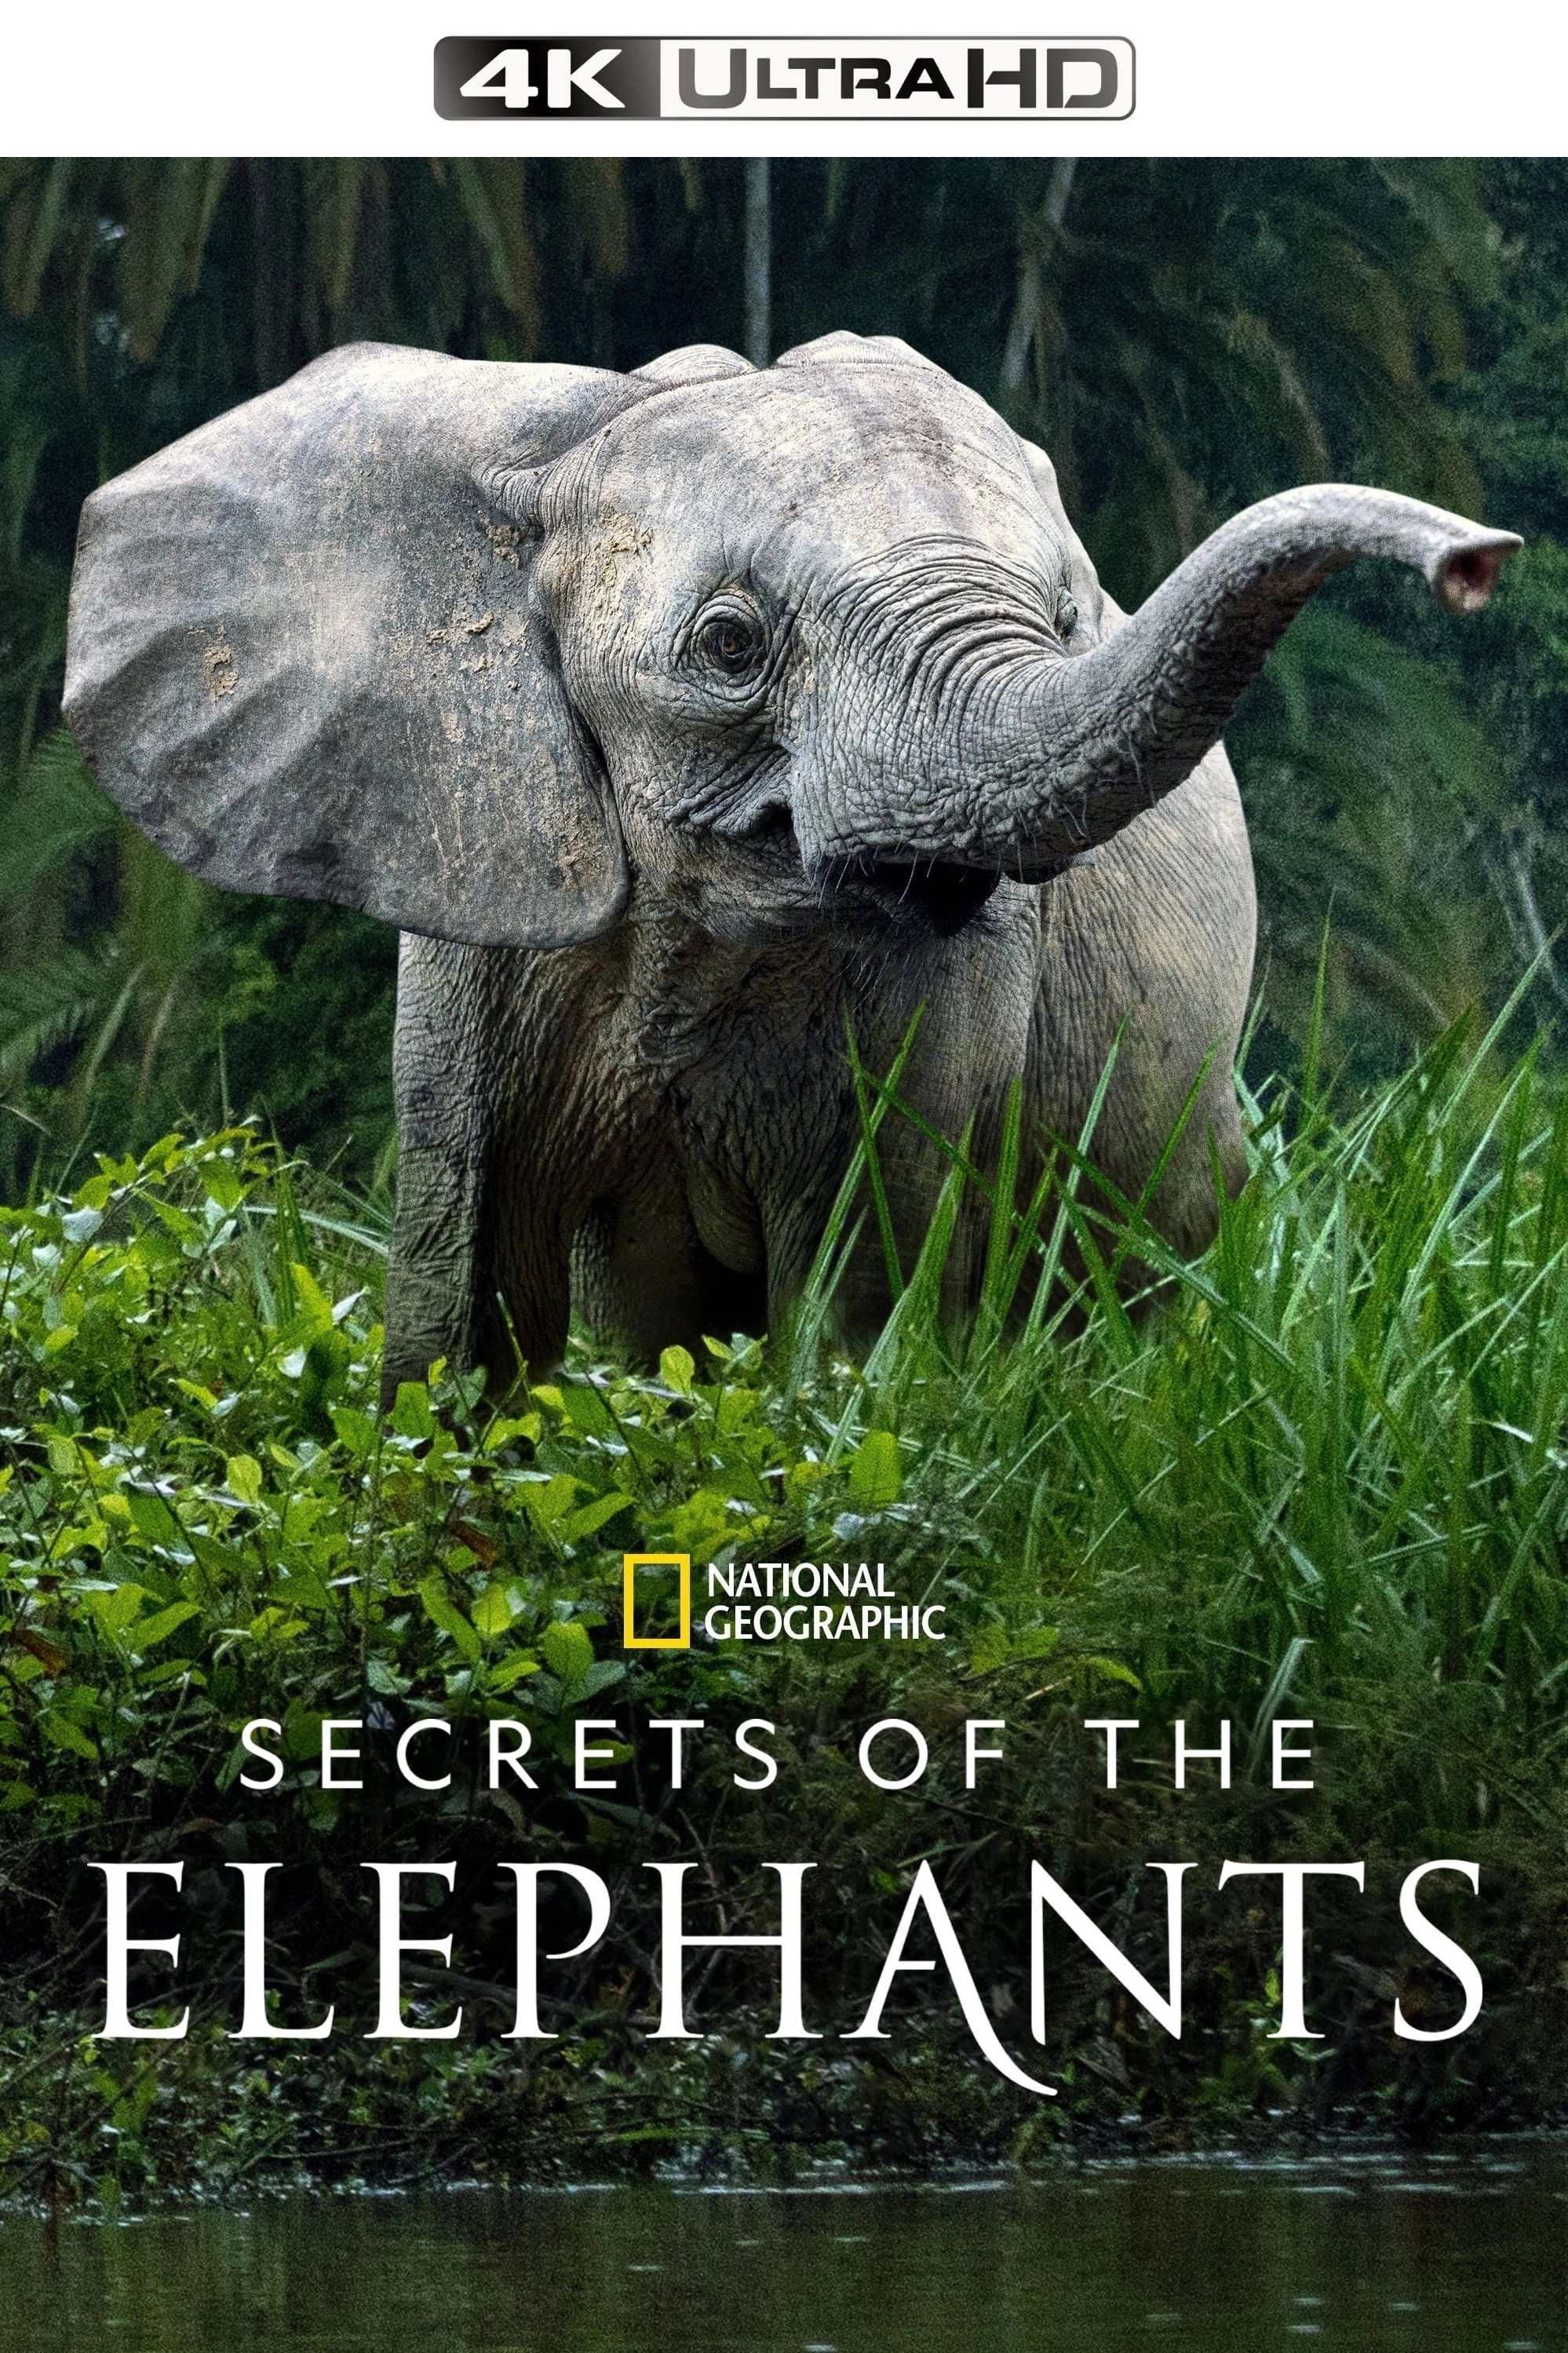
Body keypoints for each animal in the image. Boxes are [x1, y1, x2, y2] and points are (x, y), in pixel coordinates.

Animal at [61, 331, 1517, 1396]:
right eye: (728, 643)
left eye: (1067, 621)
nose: (1475, 562)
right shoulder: (478, 892)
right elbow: (466, 1297)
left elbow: (853, 1292)